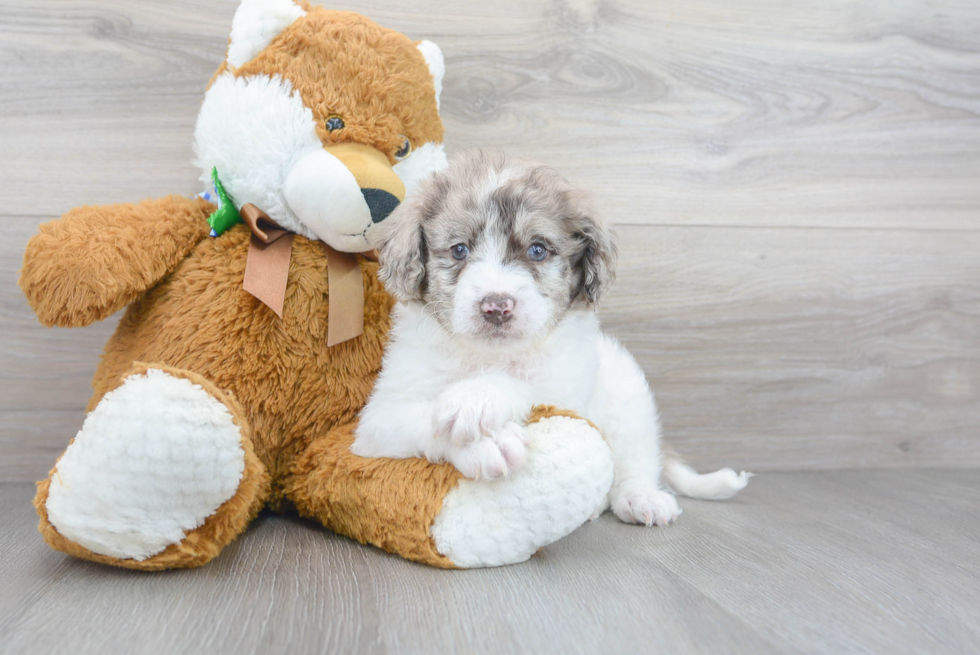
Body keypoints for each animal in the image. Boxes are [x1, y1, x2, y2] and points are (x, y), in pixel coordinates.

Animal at [354, 151, 752, 524]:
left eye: (538, 250)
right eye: (459, 250)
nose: (496, 307)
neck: (488, 356)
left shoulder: (565, 388)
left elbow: (524, 384)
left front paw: (477, 396)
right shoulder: (377, 421)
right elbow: (419, 418)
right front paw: (485, 442)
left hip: (628, 395)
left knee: (637, 459)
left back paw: (640, 497)